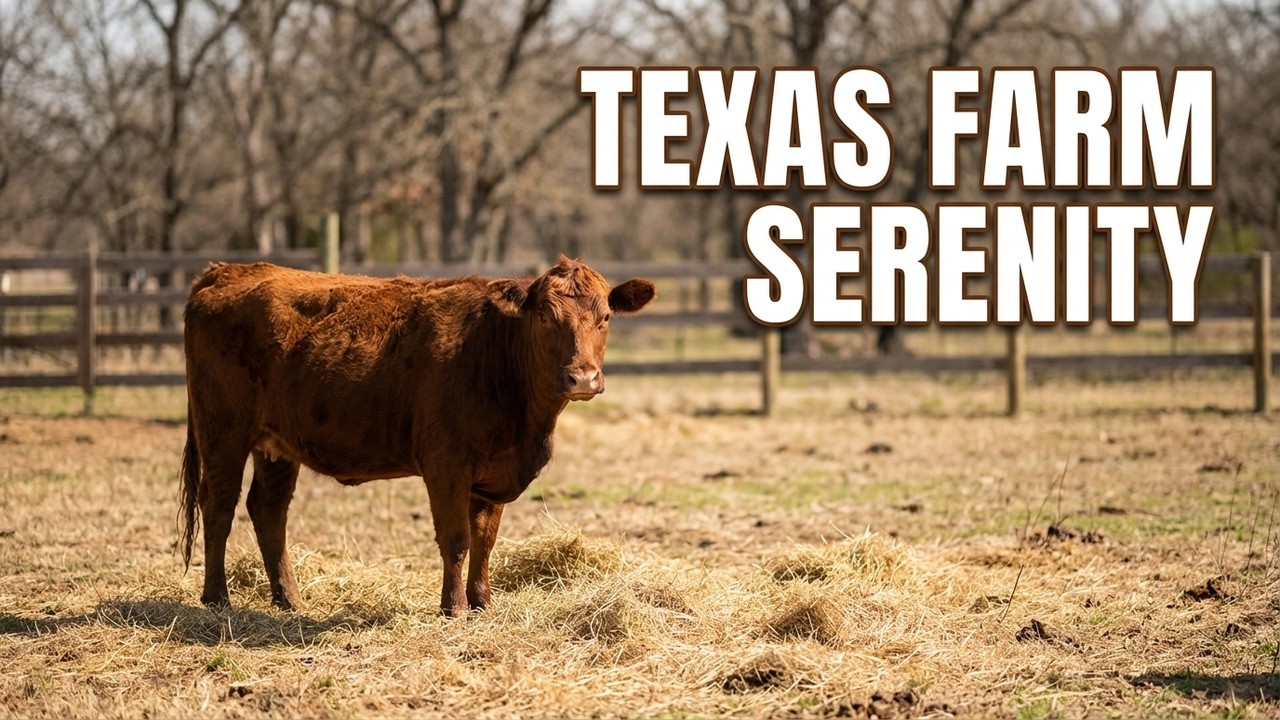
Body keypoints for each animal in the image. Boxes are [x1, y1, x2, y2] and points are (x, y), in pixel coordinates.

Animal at [178, 257, 655, 616]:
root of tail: (226, 270)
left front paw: (482, 603)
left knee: (268, 510)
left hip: (276, 445)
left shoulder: (492, 475)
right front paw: (454, 608)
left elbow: (485, 540)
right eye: (544, 317)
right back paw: (217, 598)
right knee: (219, 506)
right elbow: (457, 539)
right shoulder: (447, 465)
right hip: (223, 431)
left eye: (605, 317)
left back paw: (289, 600)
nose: (583, 377)